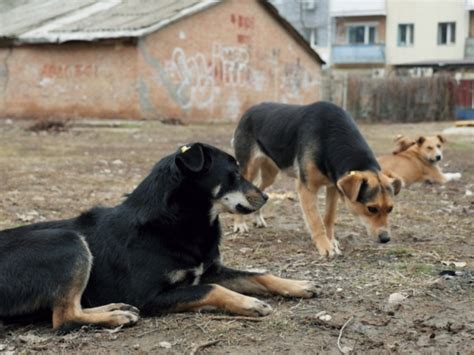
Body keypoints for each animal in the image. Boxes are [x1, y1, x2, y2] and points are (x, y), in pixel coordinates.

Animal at [0, 143, 318, 330]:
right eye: (234, 174)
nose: (266, 197)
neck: (180, 221)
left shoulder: (210, 270)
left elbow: (260, 275)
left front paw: (297, 284)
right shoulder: (151, 295)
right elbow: (213, 289)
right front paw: (248, 303)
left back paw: (115, 308)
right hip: (68, 241)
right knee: (64, 317)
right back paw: (116, 315)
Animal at [232, 101, 400, 258]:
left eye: (390, 209)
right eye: (372, 209)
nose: (386, 239)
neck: (330, 138)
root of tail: (250, 109)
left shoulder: (333, 186)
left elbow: (329, 217)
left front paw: (331, 241)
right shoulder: (306, 188)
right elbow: (316, 221)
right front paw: (325, 246)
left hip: (270, 174)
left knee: (260, 189)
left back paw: (257, 218)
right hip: (249, 168)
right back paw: (239, 224)